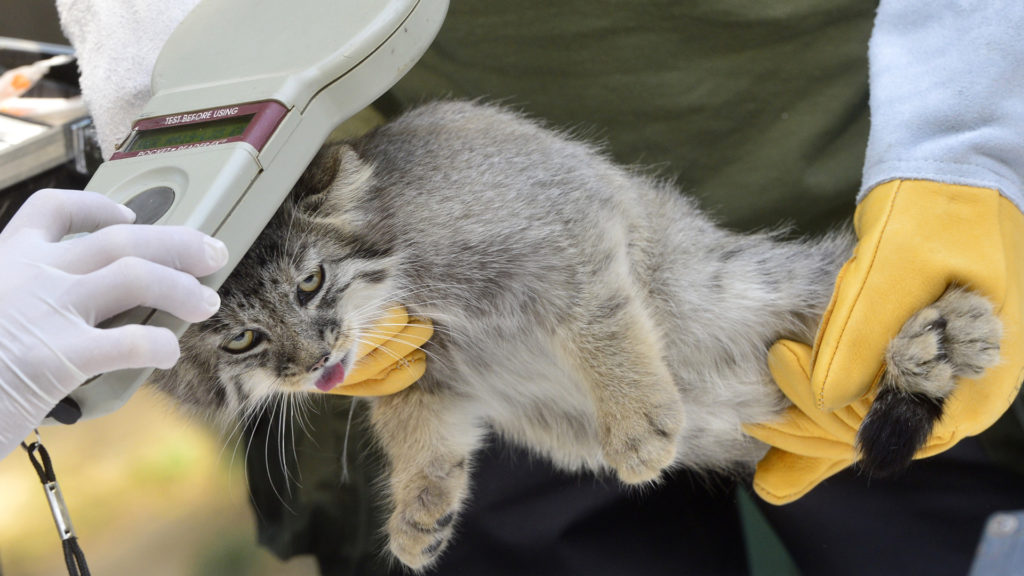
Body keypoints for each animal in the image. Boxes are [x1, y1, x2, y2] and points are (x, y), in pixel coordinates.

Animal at [151, 100, 999, 565]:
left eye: (310, 283)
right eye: (240, 342)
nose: (313, 361)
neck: (419, 292)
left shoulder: (565, 234)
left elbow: (600, 324)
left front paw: (636, 420)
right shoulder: (425, 374)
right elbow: (417, 432)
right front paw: (422, 504)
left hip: (746, 283)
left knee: (862, 290)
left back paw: (947, 339)